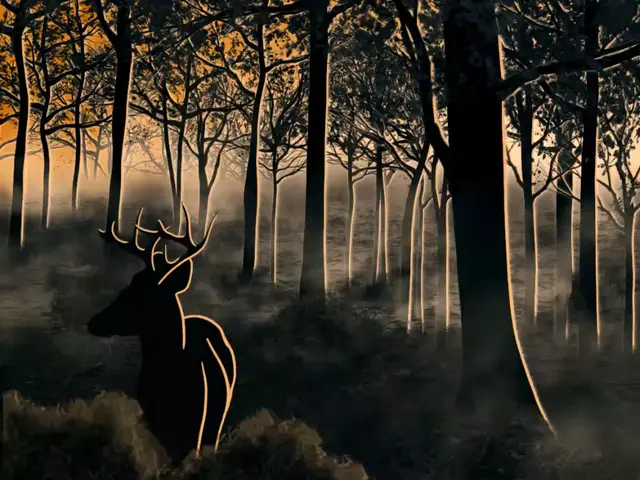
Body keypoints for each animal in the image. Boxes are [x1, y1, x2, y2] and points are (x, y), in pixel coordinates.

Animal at [86, 205, 237, 465]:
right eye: (127, 287)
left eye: (138, 295)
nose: (93, 322)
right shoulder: (159, 426)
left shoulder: (198, 426)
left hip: (218, 417)